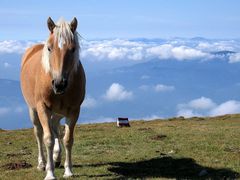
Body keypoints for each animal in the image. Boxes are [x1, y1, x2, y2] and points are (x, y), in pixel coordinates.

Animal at [20, 17, 86, 180]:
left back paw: (56, 157)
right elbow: (48, 138)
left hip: (57, 113)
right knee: (39, 133)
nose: (59, 84)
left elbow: (67, 139)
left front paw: (68, 171)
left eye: (73, 49)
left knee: (56, 128)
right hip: (33, 110)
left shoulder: (74, 110)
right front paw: (50, 173)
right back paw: (42, 163)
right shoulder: (43, 108)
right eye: (49, 48)